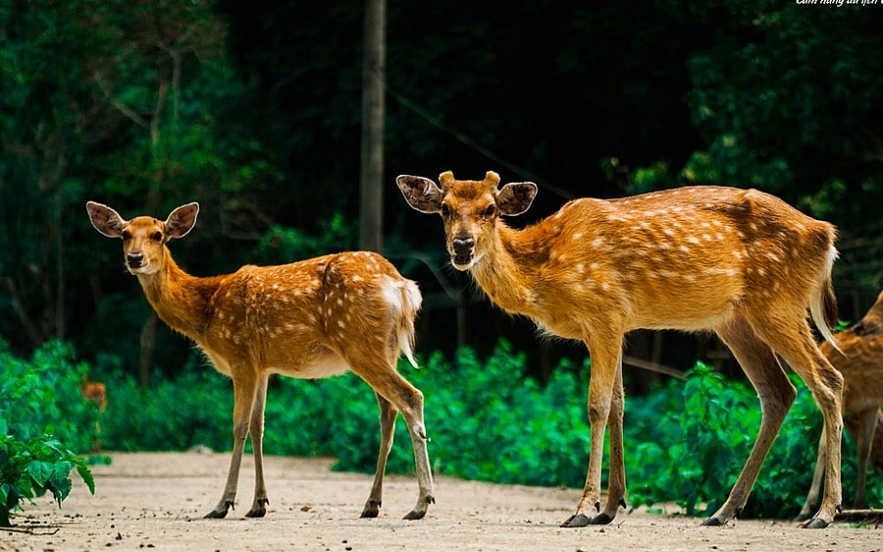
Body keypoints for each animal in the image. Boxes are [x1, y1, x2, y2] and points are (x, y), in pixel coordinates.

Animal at [86, 201, 436, 520]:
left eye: (157, 235)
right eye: (125, 234)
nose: (135, 258)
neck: (207, 311)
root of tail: (402, 286)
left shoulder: (240, 357)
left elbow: (238, 426)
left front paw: (223, 504)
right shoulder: (263, 366)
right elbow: (258, 427)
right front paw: (258, 504)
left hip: (358, 343)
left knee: (411, 397)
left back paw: (421, 503)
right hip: (384, 349)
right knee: (388, 412)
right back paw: (372, 504)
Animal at [398, 170, 844, 528]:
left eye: (490, 209)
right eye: (444, 209)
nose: (462, 246)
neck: (543, 272)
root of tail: (827, 235)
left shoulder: (604, 313)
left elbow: (597, 406)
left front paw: (583, 508)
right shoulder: (615, 326)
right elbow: (619, 405)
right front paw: (611, 506)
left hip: (778, 303)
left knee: (829, 381)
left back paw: (823, 513)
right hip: (735, 319)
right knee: (778, 392)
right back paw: (723, 511)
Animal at [796, 292, 883, 520]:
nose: (880, 466)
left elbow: (823, 445)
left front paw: (808, 508)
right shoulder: (869, 405)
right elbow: (862, 449)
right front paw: (858, 504)